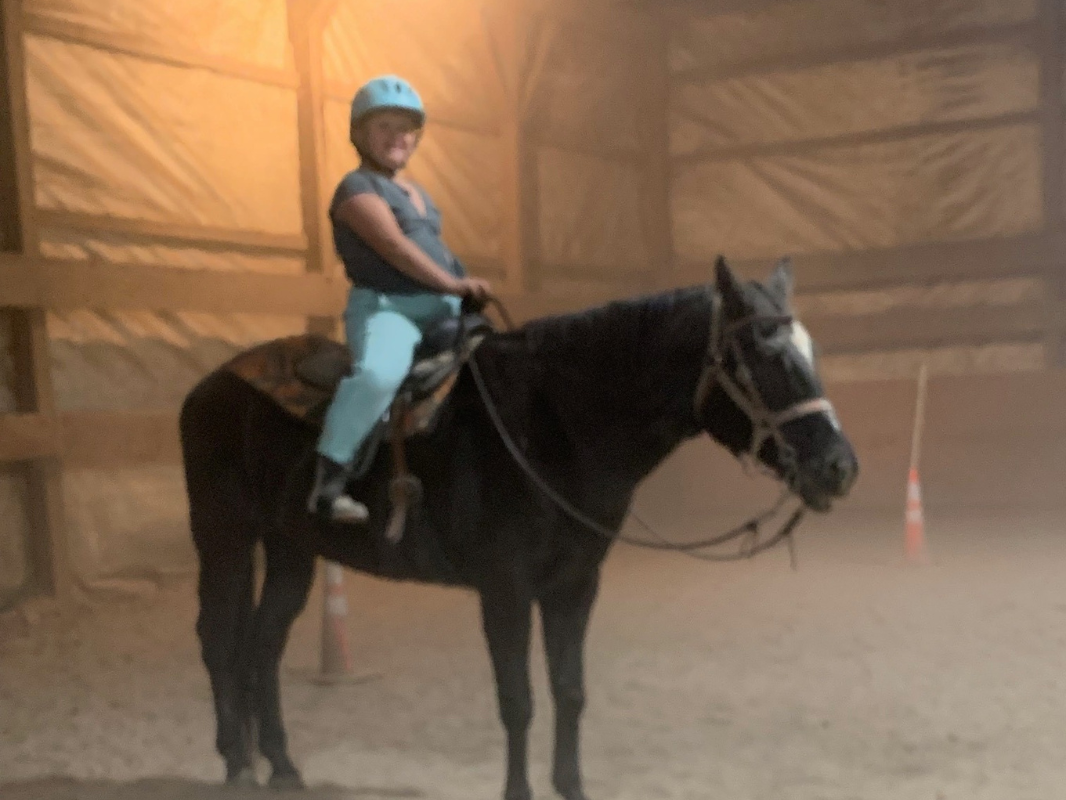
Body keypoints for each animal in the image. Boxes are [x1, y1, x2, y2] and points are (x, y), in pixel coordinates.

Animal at [176, 258, 857, 800]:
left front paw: (572, 786)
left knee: (263, 644)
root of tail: (206, 386)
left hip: (291, 548)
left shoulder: (574, 585)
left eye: (812, 352)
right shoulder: (505, 589)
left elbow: (569, 690)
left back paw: (283, 766)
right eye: (764, 356)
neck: (551, 424)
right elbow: (518, 699)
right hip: (223, 536)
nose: (839, 467)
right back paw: (237, 763)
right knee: (217, 637)